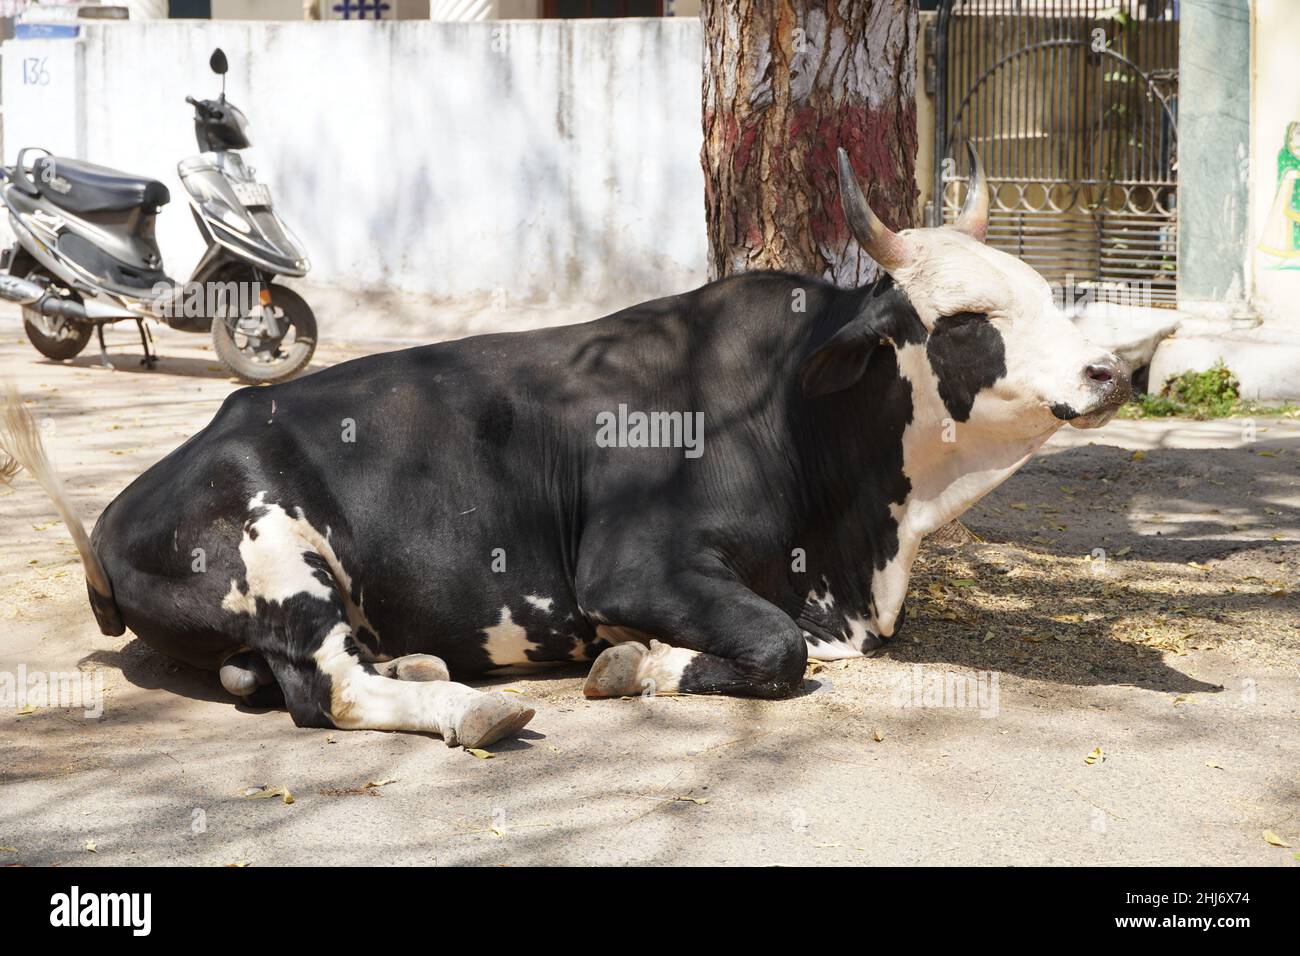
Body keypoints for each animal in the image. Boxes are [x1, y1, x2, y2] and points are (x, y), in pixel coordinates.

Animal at [2, 147, 1128, 749]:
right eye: (969, 319)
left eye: (1041, 291)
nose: (1111, 370)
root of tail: (119, 515)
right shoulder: (632, 568)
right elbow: (776, 649)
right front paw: (635, 664)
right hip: (277, 544)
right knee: (328, 688)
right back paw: (471, 708)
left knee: (304, 673)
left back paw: (418, 656)